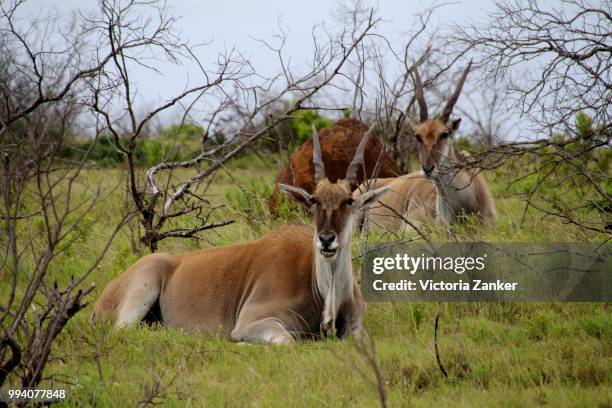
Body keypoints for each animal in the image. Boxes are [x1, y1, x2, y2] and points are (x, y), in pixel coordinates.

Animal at [92, 127, 388, 344]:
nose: (327, 240)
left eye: (349, 201)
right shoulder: (251, 322)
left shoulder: (357, 329)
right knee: (123, 332)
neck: (320, 289)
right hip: (145, 282)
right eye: (314, 200)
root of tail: (102, 298)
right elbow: (286, 341)